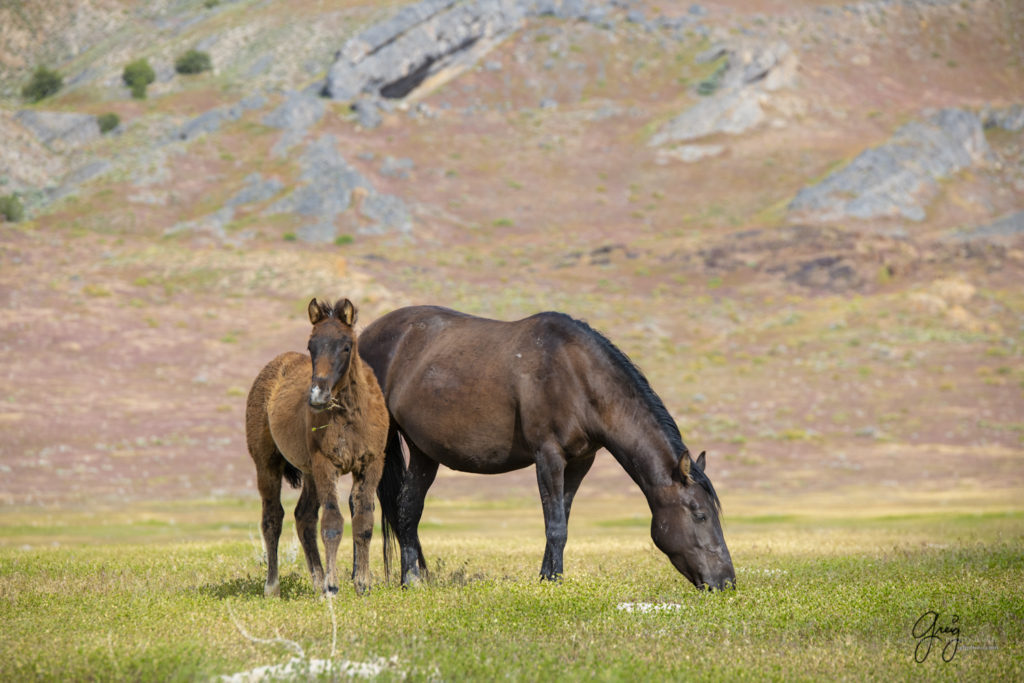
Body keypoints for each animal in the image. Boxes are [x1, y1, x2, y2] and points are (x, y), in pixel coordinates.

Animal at [245, 299, 393, 598]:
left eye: (346, 346)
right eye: (311, 346)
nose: (317, 396)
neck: (349, 415)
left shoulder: (371, 464)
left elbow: (364, 522)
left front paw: (362, 584)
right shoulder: (326, 463)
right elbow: (333, 523)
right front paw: (332, 586)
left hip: (309, 472)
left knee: (303, 517)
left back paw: (315, 580)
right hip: (267, 464)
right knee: (272, 518)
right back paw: (273, 586)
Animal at [360, 307, 737, 589]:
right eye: (699, 514)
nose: (727, 582)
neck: (577, 375)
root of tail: (367, 334)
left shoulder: (581, 461)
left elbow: (563, 520)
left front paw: (550, 576)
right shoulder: (549, 455)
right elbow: (554, 523)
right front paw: (551, 581)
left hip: (424, 453)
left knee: (407, 509)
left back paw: (412, 580)